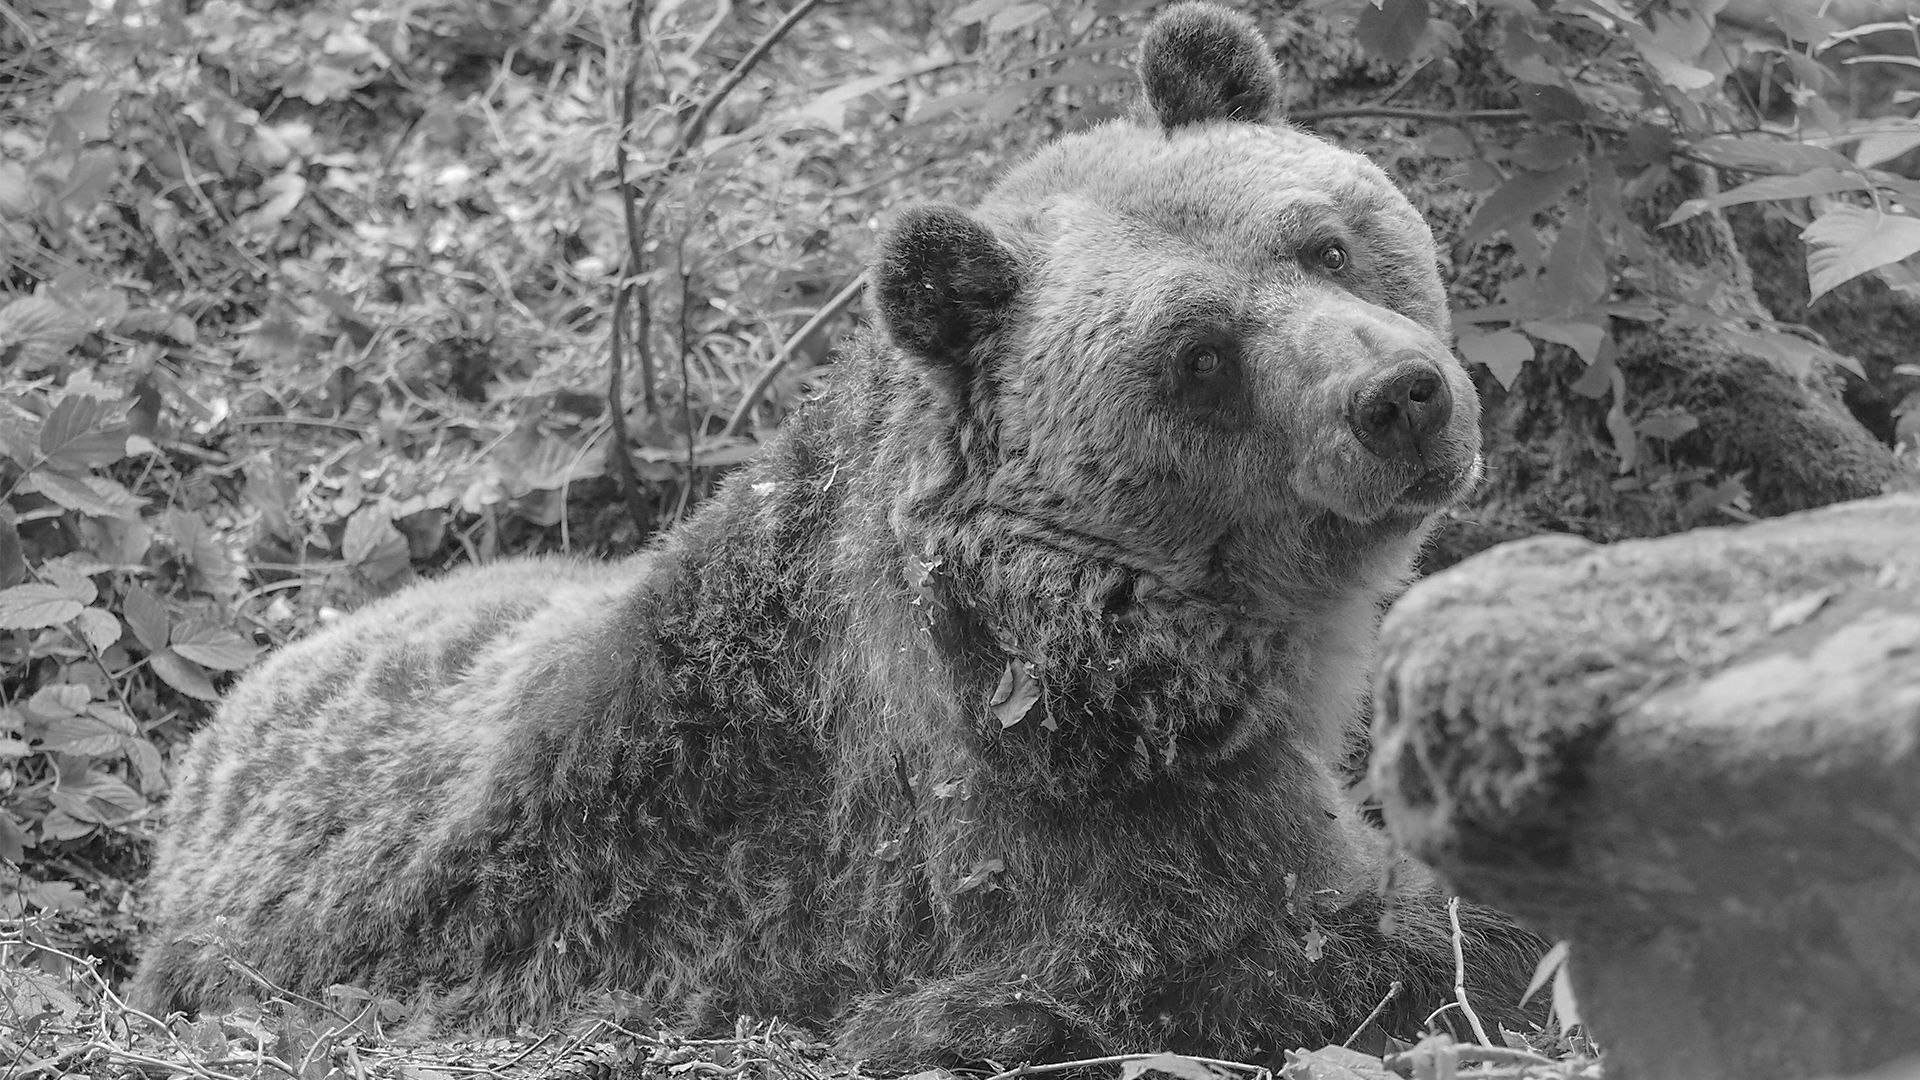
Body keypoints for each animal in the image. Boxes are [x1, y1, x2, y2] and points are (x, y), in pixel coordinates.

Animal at [133, 3, 1544, 1068]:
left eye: (1326, 241)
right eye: (1198, 355)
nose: (1401, 398)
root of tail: (197, 767)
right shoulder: (1046, 829)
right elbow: (1274, 956)